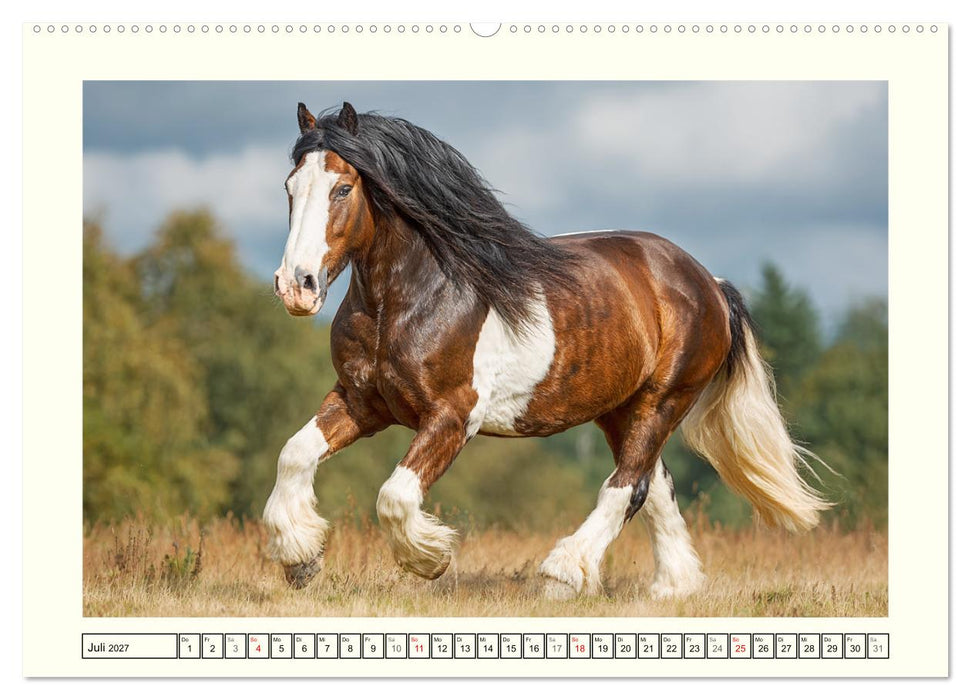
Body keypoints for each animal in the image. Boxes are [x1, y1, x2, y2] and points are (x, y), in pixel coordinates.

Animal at [263, 101, 829, 599]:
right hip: (619, 409)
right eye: (290, 186)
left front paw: (430, 558)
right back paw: (672, 587)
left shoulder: (452, 416)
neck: (412, 299)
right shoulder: (363, 402)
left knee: (628, 485)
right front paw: (300, 558)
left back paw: (563, 575)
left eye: (342, 188)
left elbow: (395, 497)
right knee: (655, 486)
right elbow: (293, 454)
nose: (296, 287)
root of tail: (709, 282)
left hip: (664, 399)